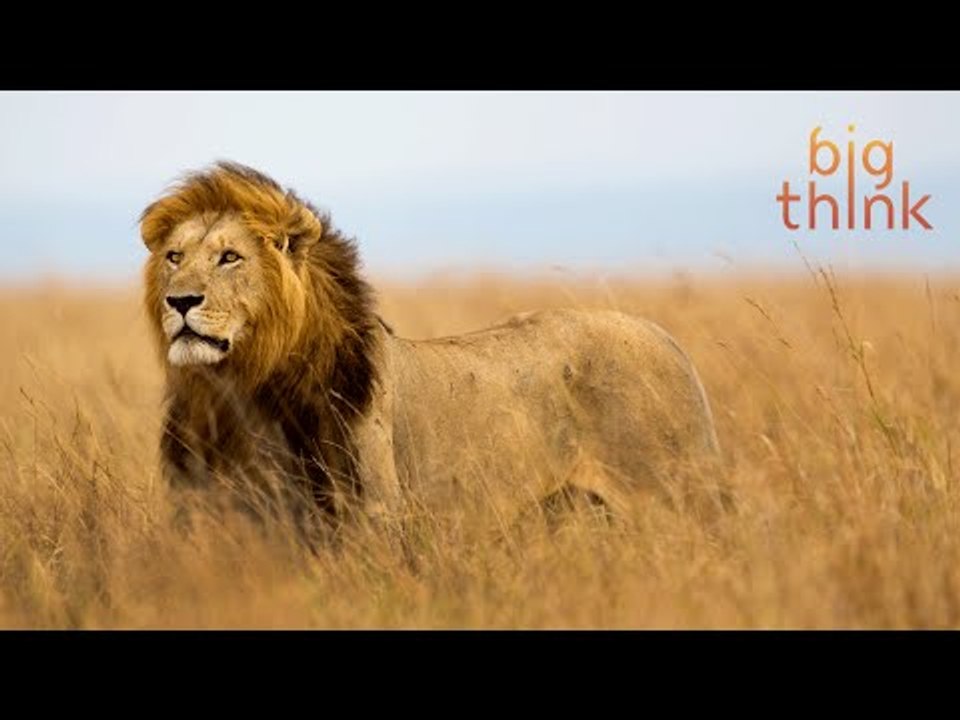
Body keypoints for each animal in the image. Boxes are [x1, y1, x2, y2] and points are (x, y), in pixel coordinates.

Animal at [140, 162, 724, 540]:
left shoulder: (371, 515)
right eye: (174, 257)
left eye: (230, 257)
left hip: (676, 500)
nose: (180, 301)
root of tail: (665, 337)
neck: (242, 388)